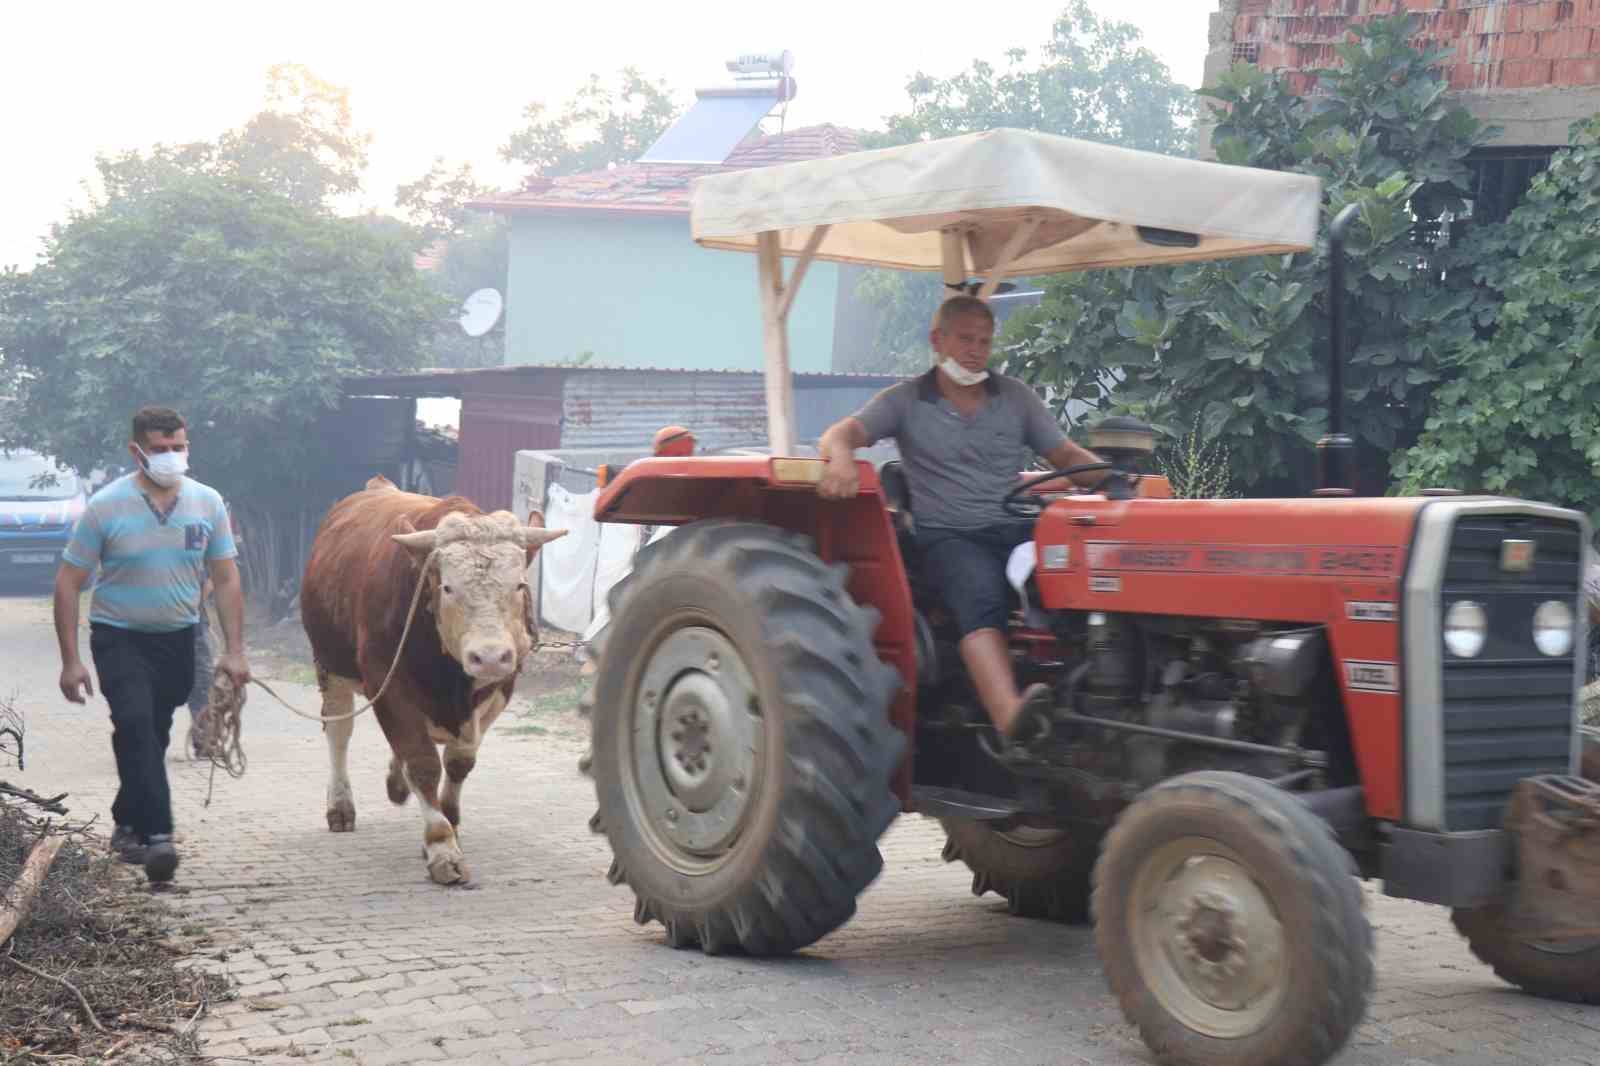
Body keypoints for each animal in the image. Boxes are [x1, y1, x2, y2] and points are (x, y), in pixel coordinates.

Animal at [299, 473, 563, 877]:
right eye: (448, 587)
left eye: (519, 584)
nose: (489, 657)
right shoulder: (387, 684)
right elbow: (422, 763)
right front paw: (441, 846)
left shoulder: (500, 689)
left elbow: (458, 762)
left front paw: (450, 822)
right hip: (330, 665)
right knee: (340, 732)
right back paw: (340, 805)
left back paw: (395, 783)